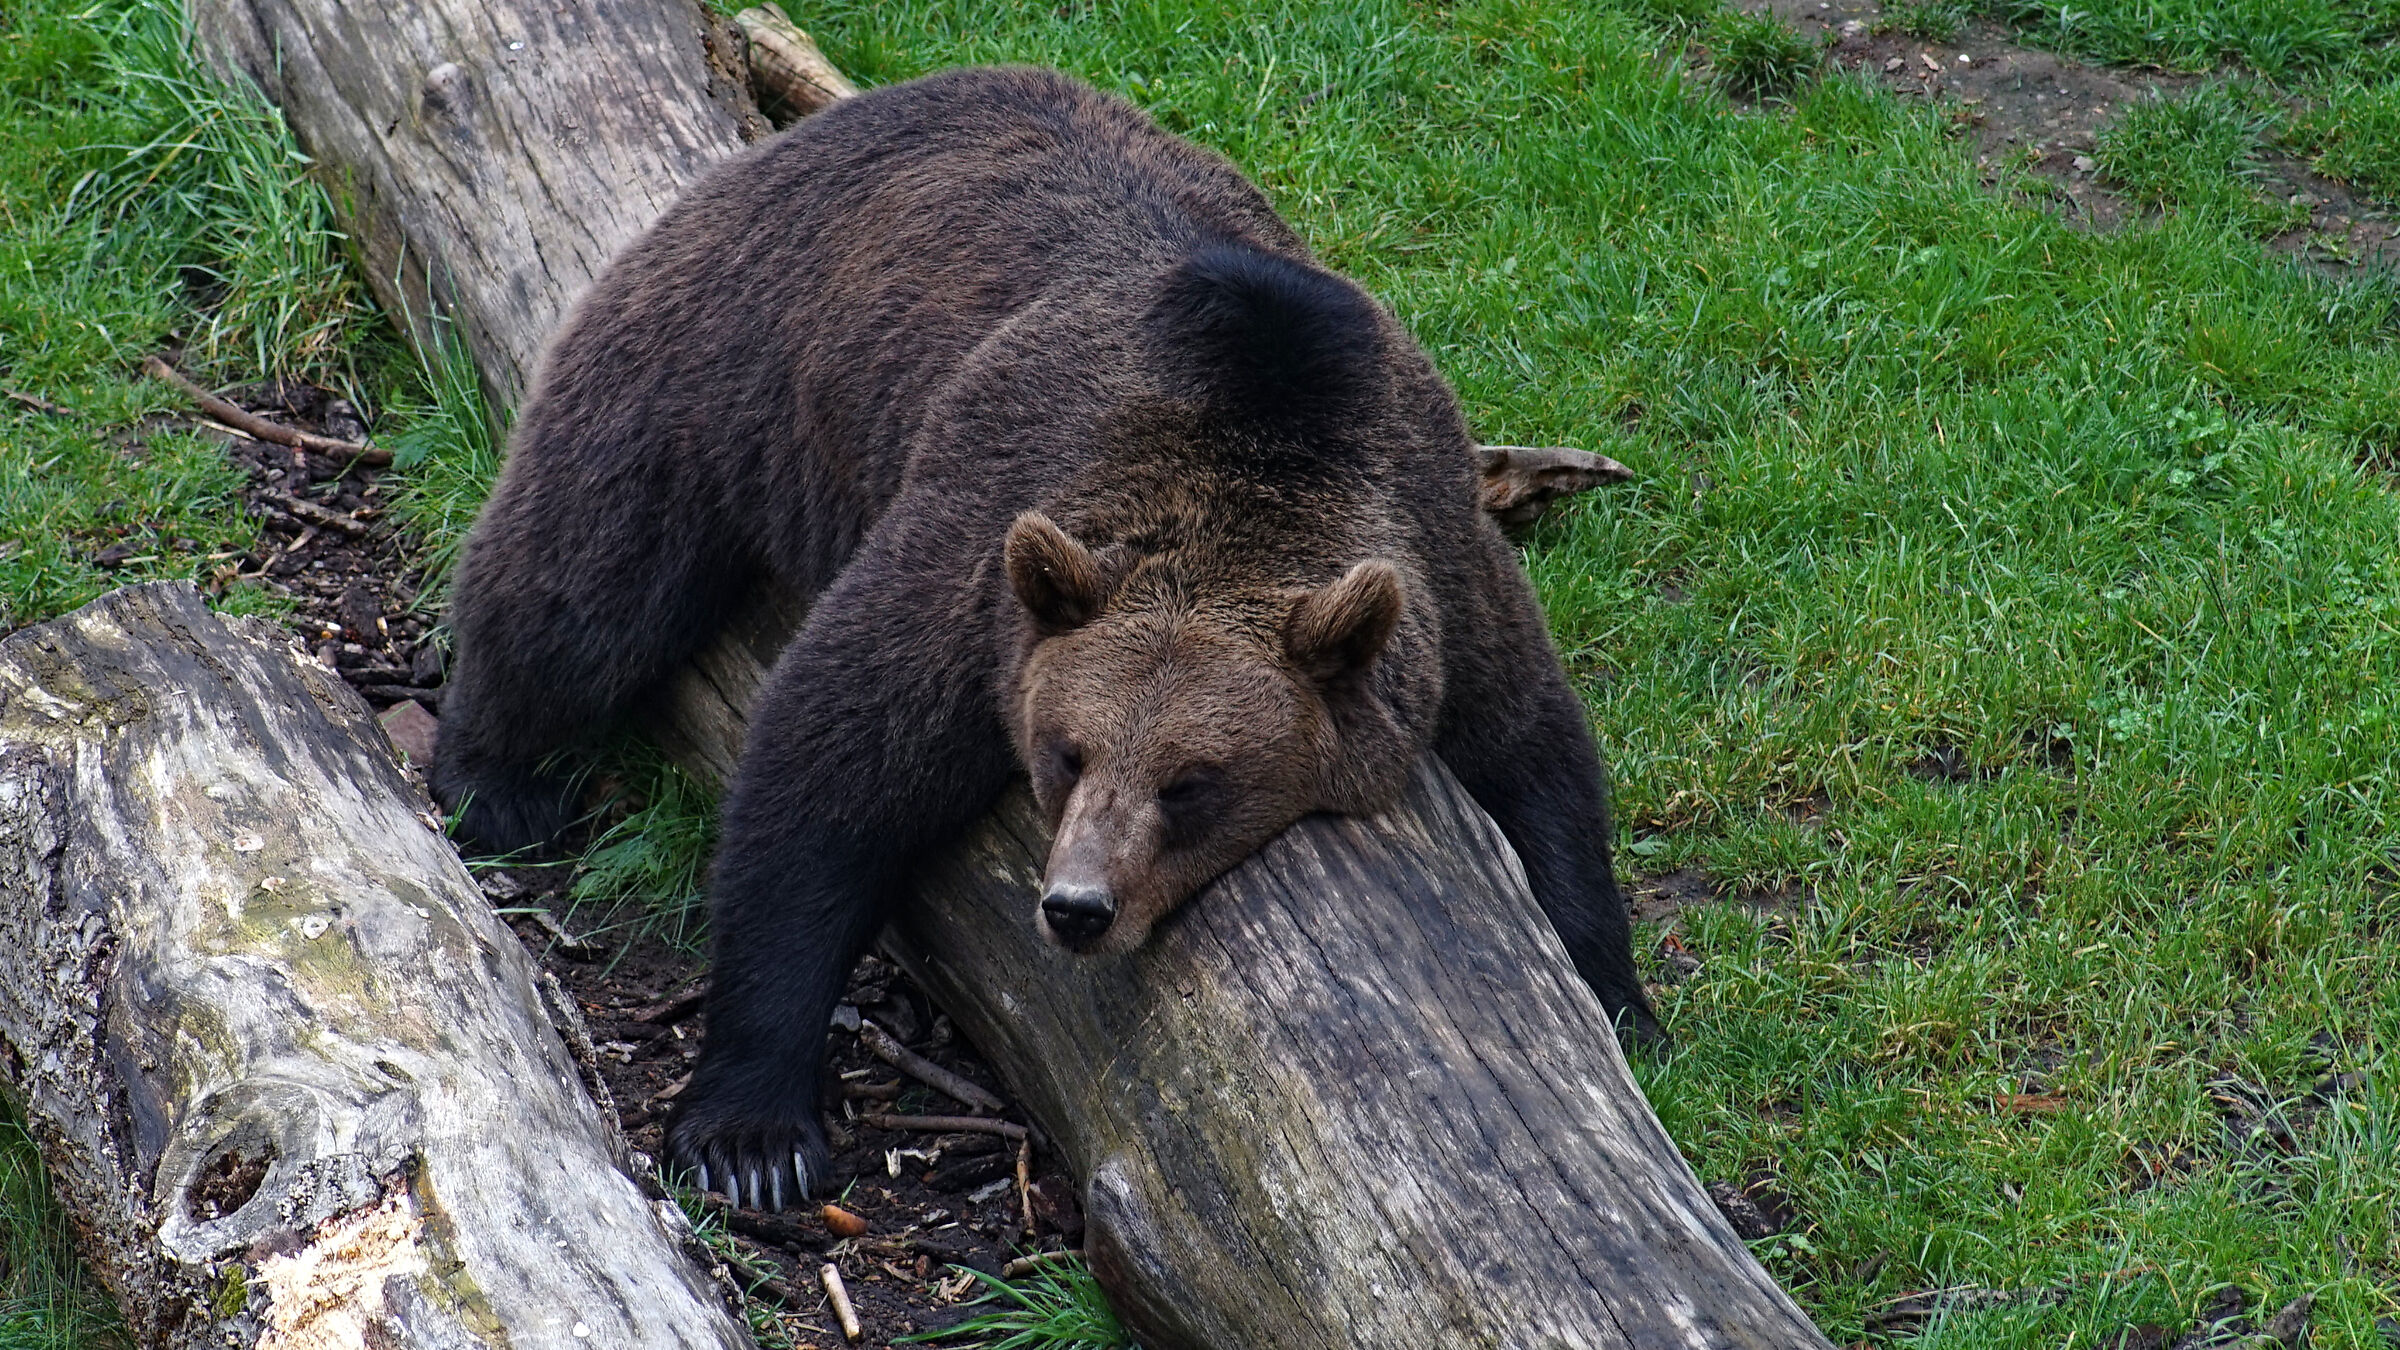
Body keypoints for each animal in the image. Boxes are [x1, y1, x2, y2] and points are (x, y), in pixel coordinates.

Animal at [430, 65, 1657, 1210]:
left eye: (1192, 782)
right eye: (1068, 754)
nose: (1076, 908)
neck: (1257, 449)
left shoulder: (1439, 562)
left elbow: (1535, 754)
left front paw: (1617, 999)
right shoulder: (983, 567)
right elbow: (826, 774)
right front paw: (753, 1136)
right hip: (720, 361)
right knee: (586, 584)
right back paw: (494, 777)